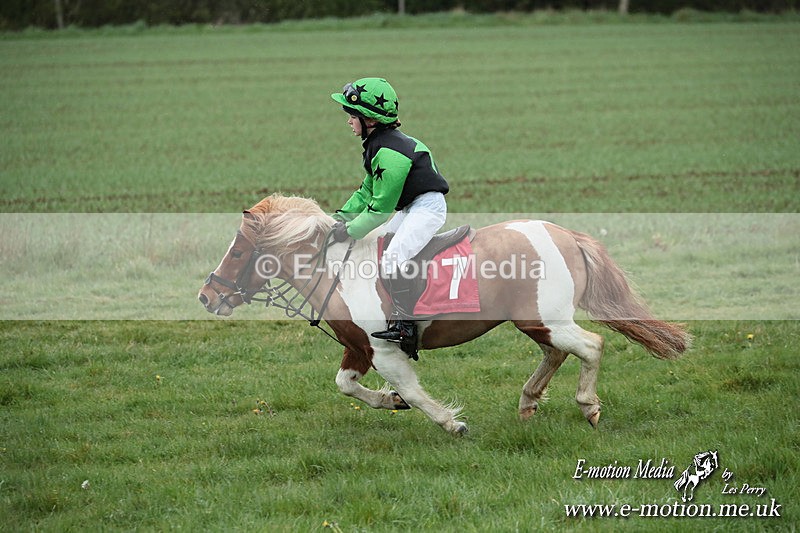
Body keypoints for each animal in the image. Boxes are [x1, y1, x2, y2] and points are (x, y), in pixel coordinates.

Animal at [198, 194, 690, 436]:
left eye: (237, 251)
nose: (206, 296)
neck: (336, 269)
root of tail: (565, 234)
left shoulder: (385, 350)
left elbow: (414, 393)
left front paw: (451, 423)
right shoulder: (358, 348)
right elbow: (346, 385)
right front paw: (387, 402)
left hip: (547, 319)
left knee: (591, 345)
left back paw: (588, 406)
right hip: (534, 322)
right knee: (557, 353)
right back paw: (528, 402)